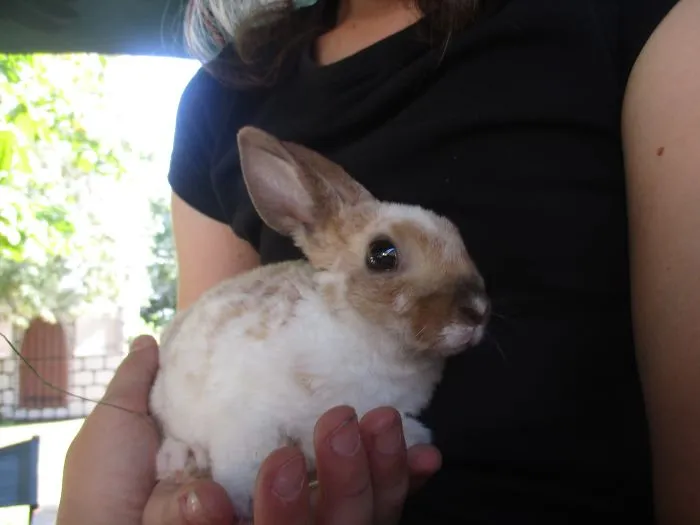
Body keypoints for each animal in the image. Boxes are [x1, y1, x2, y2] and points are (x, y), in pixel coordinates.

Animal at [148, 126, 491, 519]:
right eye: (382, 254)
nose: (477, 311)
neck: (363, 335)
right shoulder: (246, 426)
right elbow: (243, 471)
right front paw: (242, 507)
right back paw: (178, 460)